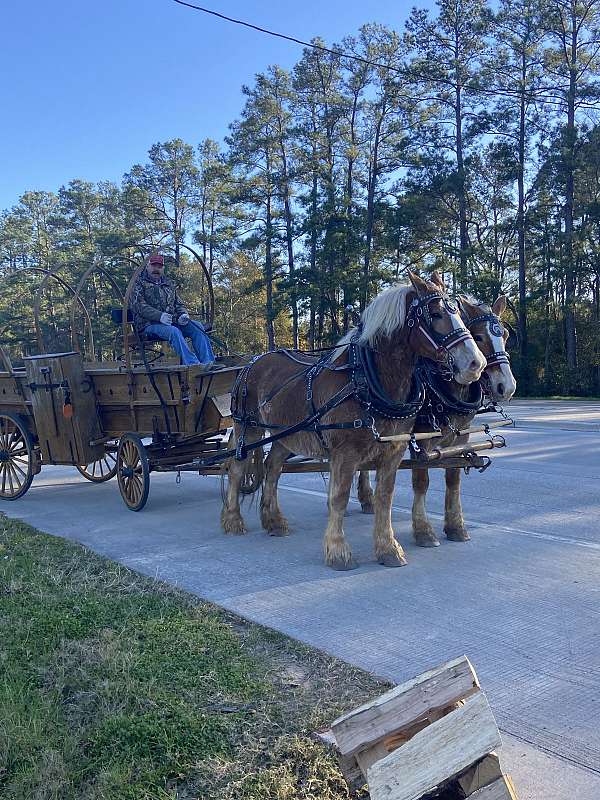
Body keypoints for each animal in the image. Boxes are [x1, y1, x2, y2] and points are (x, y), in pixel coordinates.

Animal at [220, 276, 488, 568]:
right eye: (436, 314)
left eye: (459, 314)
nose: (476, 363)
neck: (367, 381)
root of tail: (252, 362)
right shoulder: (345, 452)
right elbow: (338, 497)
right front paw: (338, 551)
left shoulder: (394, 451)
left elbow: (385, 497)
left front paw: (388, 548)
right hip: (248, 427)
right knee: (237, 469)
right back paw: (233, 520)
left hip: (287, 434)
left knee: (273, 467)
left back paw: (274, 521)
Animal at [358, 278, 516, 548]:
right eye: (479, 337)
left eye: (504, 336)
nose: (506, 386)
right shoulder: (420, 439)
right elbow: (421, 481)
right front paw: (423, 530)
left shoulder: (461, 436)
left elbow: (453, 477)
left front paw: (456, 526)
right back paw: (367, 497)